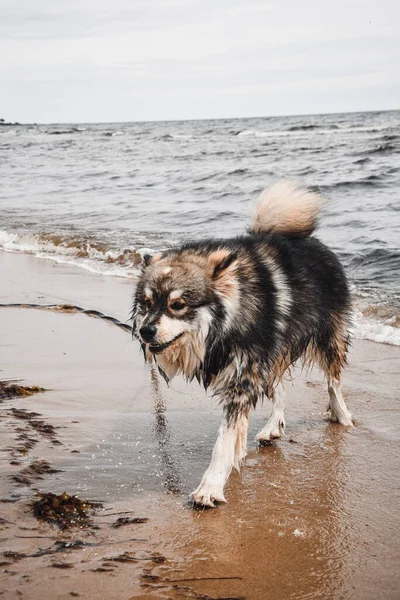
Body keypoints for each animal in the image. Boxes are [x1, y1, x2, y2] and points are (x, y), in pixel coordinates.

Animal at [132, 182, 354, 506]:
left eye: (178, 305)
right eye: (146, 303)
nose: (146, 332)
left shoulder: (244, 373)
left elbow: (223, 439)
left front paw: (210, 486)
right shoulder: (249, 367)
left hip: (326, 338)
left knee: (333, 382)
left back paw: (341, 415)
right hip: (273, 352)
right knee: (279, 388)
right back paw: (273, 426)